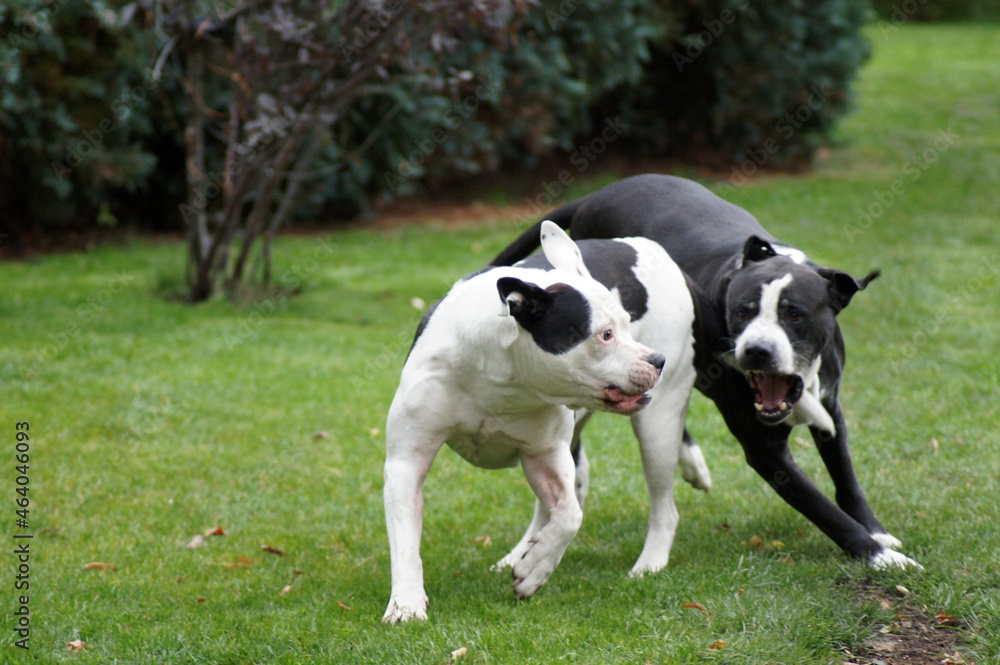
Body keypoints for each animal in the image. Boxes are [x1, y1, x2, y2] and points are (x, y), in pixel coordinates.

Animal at [382, 223, 704, 624]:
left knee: (663, 506)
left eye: (628, 324)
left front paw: (535, 570)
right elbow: (405, 541)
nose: (656, 360)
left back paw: (648, 562)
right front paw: (406, 604)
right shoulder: (406, 460)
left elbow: (569, 516)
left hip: (657, 425)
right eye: (605, 335)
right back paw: (518, 553)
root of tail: (644, 245)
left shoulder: (547, 452)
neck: (502, 375)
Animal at [492, 174, 920, 568]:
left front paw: (877, 531)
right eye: (742, 311)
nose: (757, 351)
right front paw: (880, 555)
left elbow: (846, 479)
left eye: (794, 315)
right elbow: (821, 508)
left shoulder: (831, 409)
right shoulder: (765, 451)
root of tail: (593, 196)